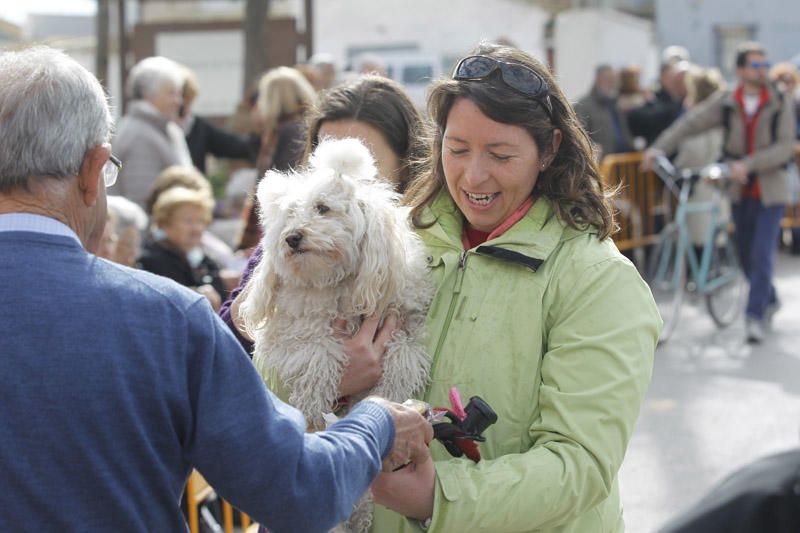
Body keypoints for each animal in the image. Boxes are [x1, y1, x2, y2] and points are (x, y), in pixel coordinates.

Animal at [239, 138, 432, 532]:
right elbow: (319, 353)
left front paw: (392, 392)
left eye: (323, 208)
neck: (336, 284)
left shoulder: (403, 321)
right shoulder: (286, 341)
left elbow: (403, 353)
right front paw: (314, 400)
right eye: (289, 216)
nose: (292, 237)